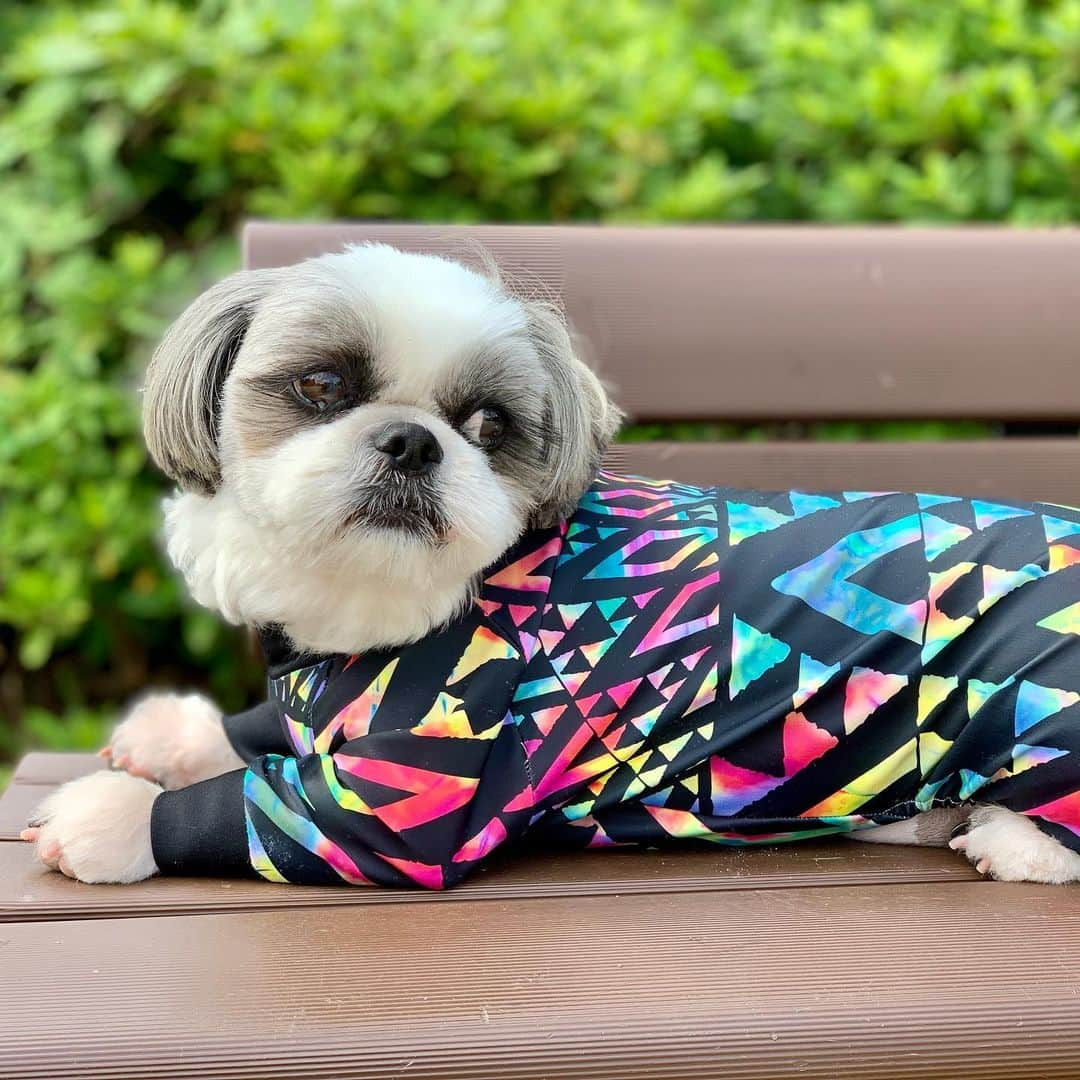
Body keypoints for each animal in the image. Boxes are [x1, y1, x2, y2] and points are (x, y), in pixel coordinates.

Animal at [19, 243, 1080, 885]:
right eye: (321, 384)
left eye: (489, 425)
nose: (412, 441)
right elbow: (260, 733)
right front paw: (180, 735)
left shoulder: (414, 791)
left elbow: (263, 808)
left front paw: (111, 820)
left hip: (1036, 693)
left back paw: (1015, 840)